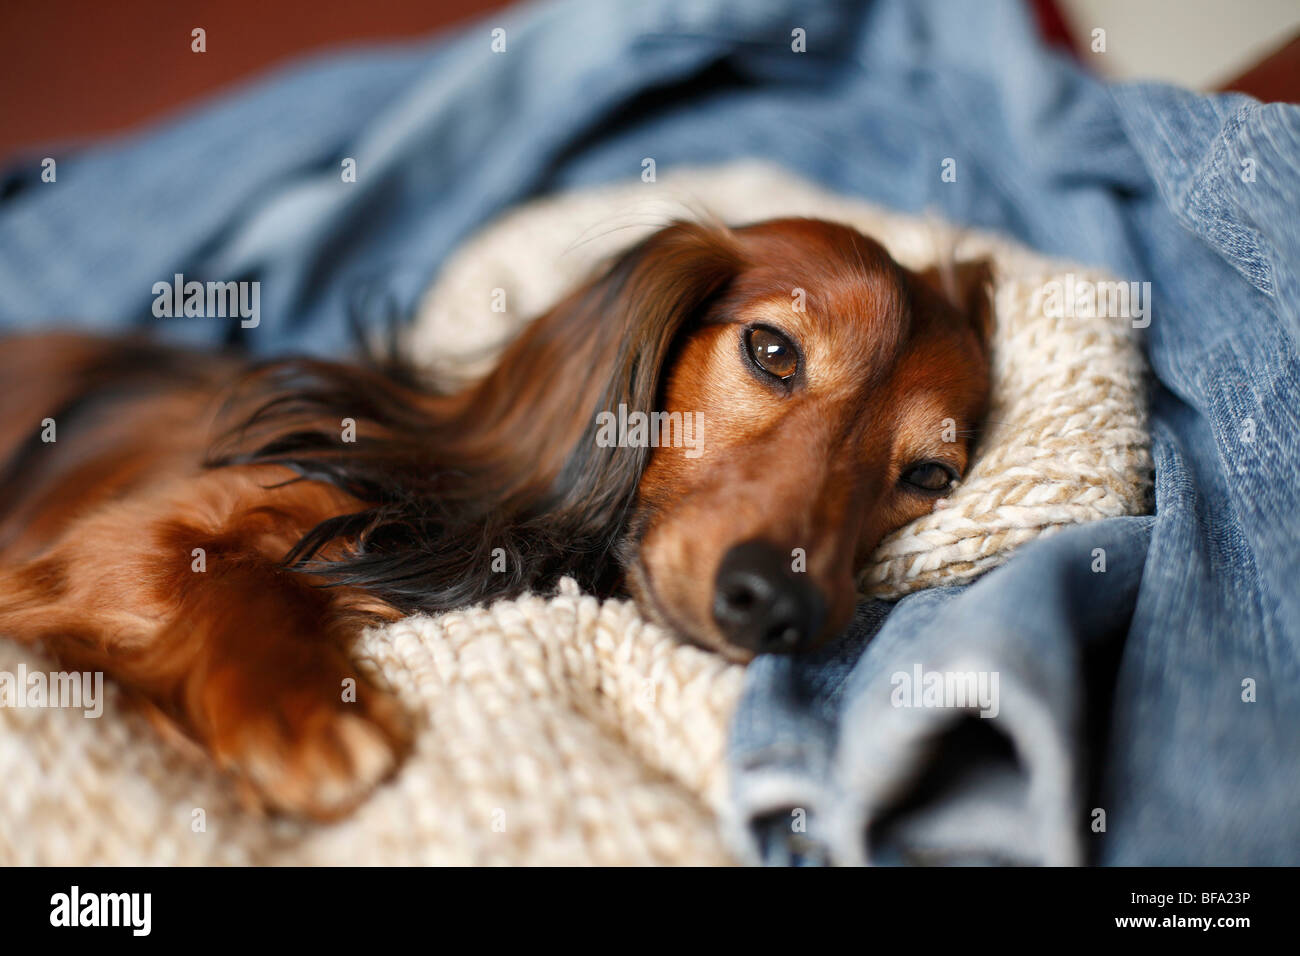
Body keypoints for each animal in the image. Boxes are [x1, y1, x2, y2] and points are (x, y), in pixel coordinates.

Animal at [2, 217, 993, 816]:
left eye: (929, 474)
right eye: (772, 351)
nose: (775, 606)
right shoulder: (112, 542)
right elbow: (232, 578)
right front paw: (301, 712)